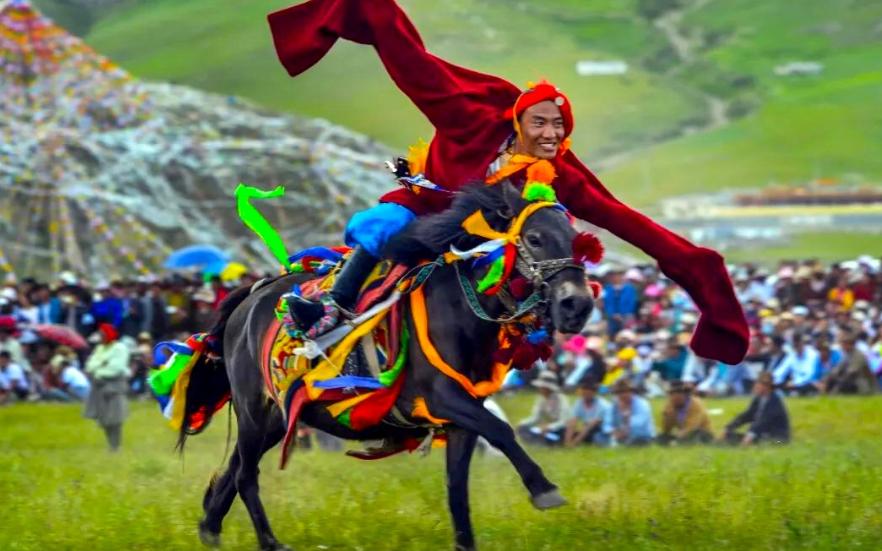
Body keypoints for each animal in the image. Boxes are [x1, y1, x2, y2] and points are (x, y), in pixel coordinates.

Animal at [185, 180, 592, 548]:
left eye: (574, 238)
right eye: (535, 238)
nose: (578, 305)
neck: (458, 309)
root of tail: (250, 297)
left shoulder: (461, 420)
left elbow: (457, 489)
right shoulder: (442, 398)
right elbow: (502, 431)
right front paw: (543, 488)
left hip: (278, 417)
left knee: (236, 468)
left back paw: (209, 526)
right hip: (254, 410)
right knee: (246, 475)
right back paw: (269, 542)